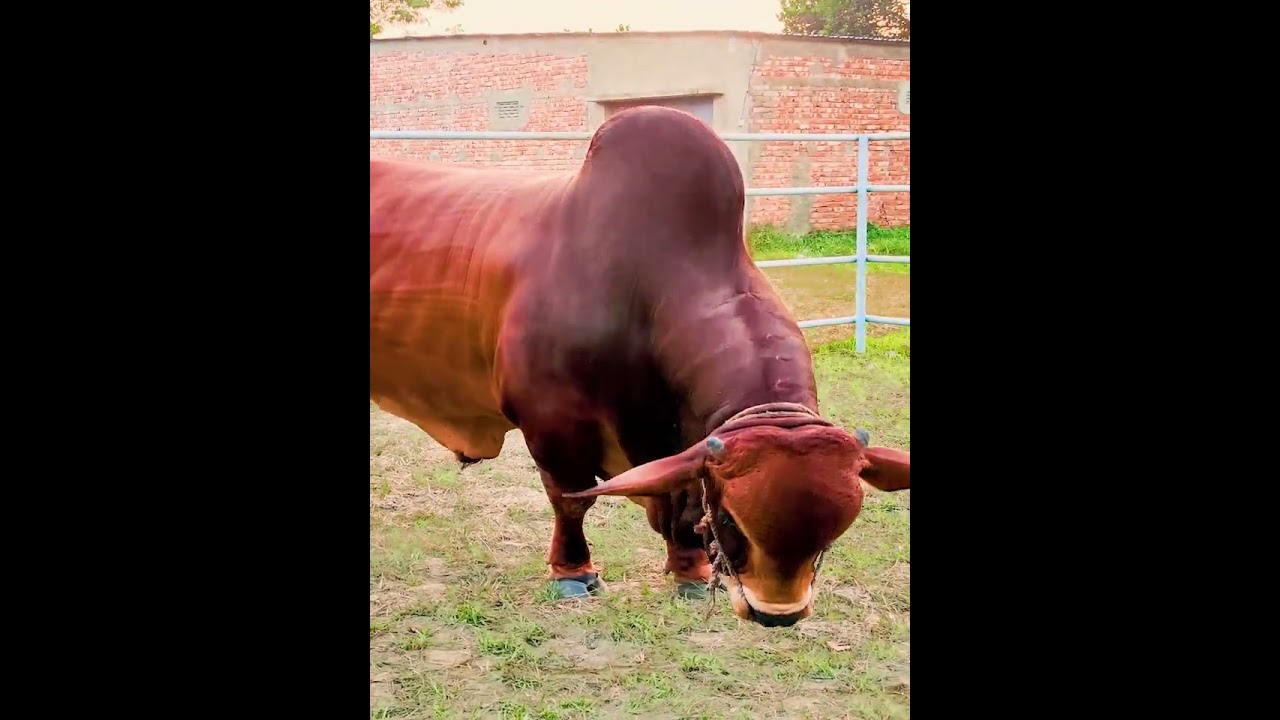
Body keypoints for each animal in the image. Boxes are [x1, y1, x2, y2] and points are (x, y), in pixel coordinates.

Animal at [370, 106, 910, 628]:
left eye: (831, 537)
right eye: (732, 521)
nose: (778, 615)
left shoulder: (686, 447)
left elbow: (683, 509)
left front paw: (690, 574)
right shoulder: (552, 422)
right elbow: (572, 499)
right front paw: (574, 573)